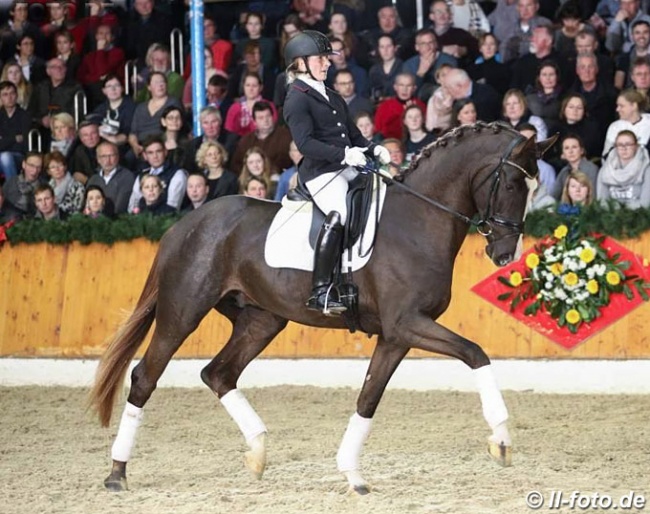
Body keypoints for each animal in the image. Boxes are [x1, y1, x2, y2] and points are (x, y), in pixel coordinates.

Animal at [88, 120, 556, 492]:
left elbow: (368, 398)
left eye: (535, 187)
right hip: (183, 312)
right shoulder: (408, 324)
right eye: (512, 184)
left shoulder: (396, 335)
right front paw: (501, 440)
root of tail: (182, 225)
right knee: (145, 377)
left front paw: (351, 473)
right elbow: (476, 353)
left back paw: (258, 452)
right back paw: (117, 473)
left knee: (218, 373)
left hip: (261, 320)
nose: (505, 254)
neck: (417, 221)